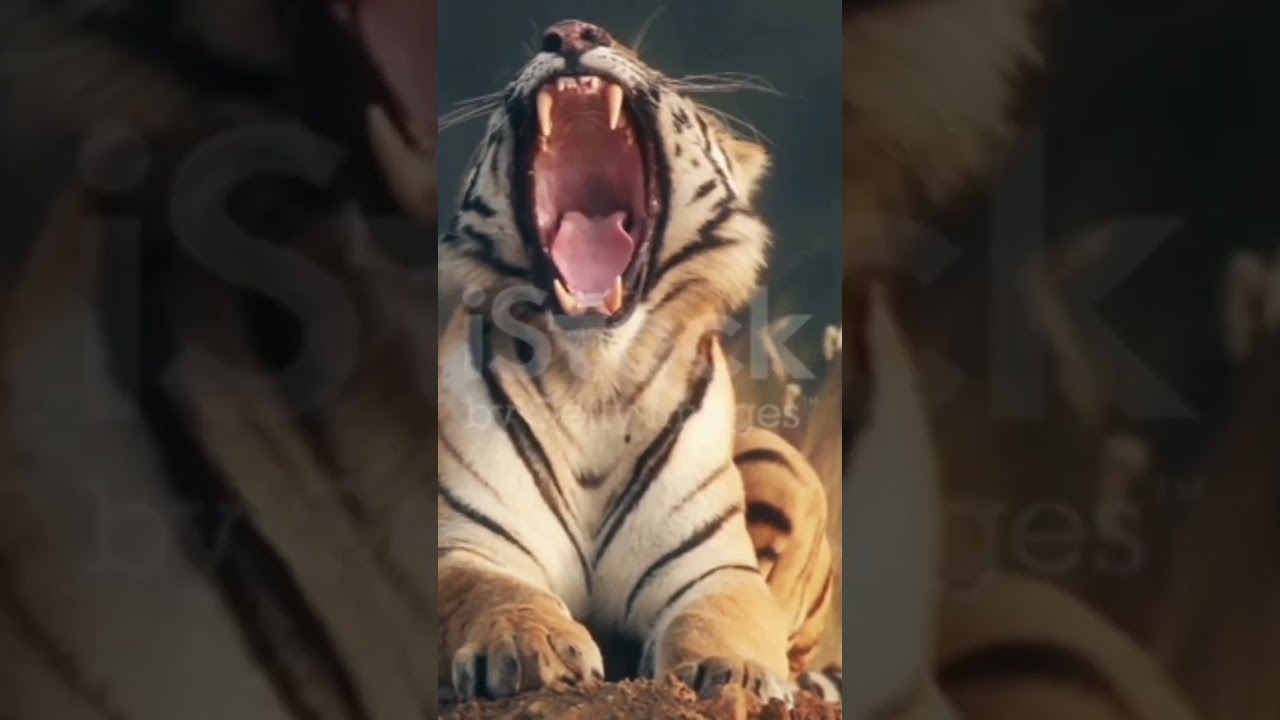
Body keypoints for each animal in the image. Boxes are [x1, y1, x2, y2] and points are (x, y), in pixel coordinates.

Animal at [435, 18, 842, 706]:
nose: (571, 31)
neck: (594, 379)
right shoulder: (464, 542)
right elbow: (493, 590)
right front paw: (531, 644)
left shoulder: (713, 568)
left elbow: (725, 616)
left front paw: (731, 671)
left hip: (775, 453)